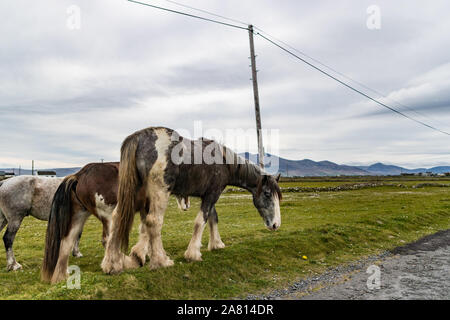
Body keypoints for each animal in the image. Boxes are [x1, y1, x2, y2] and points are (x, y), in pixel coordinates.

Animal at [40, 161, 192, 284]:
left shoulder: (144, 209)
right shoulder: (149, 206)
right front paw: (145, 256)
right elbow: (149, 229)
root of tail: (79, 175)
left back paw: (61, 276)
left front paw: (145, 254)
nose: (187, 205)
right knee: (108, 240)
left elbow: (145, 229)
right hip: (108, 216)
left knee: (66, 242)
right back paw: (121, 264)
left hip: (79, 216)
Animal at [101, 127, 282, 276]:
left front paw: (216, 244)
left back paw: (112, 264)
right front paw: (193, 253)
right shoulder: (212, 195)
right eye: (267, 194)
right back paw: (161, 261)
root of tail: (137, 138)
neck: (223, 162)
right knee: (154, 221)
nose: (275, 224)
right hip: (159, 193)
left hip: (136, 193)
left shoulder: (208, 195)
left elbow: (213, 218)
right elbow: (201, 221)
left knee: (118, 218)